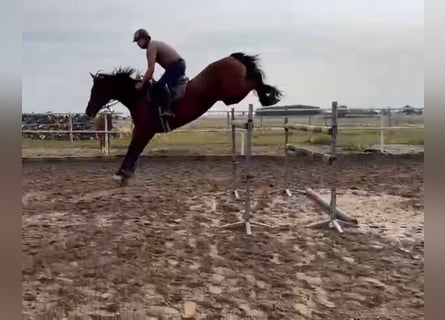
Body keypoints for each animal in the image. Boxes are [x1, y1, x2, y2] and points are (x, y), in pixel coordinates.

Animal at [85, 52, 282, 185]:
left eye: (96, 90)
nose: (88, 111)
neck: (139, 97)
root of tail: (232, 58)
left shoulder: (143, 130)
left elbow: (132, 150)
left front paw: (121, 173)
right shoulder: (144, 132)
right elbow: (135, 151)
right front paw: (126, 173)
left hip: (232, 94)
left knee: (255, 80)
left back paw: (269, 96)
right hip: (231, 95)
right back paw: (270, 95)